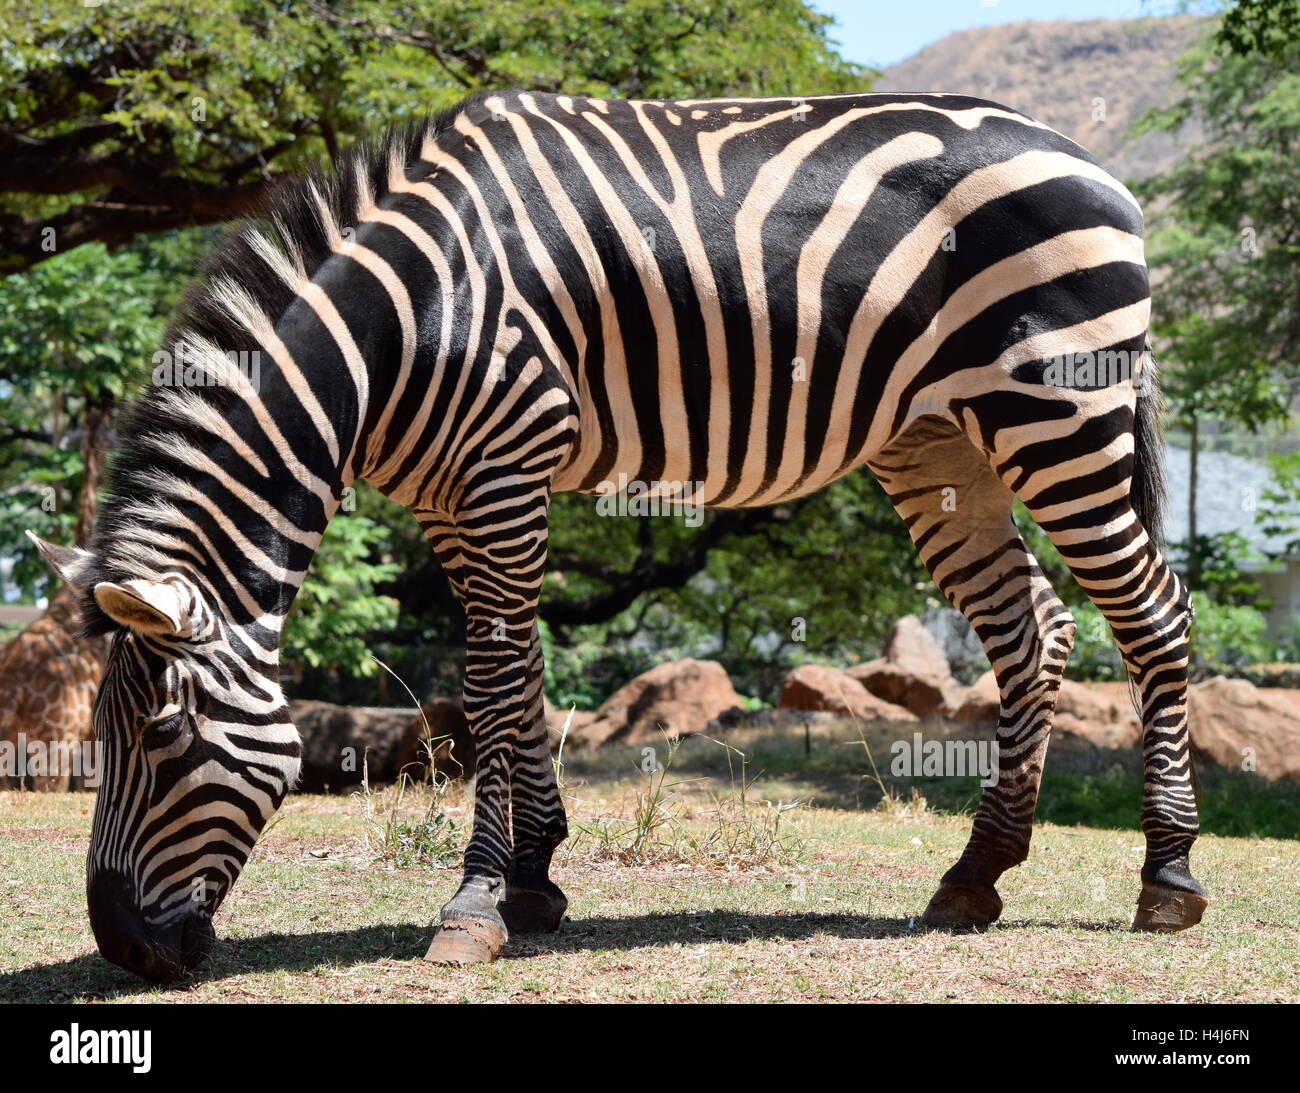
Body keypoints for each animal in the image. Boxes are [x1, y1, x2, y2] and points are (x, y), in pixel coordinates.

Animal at [30, 89, 1206, 982]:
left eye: (164, 738)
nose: (122, 948)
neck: (405, 327)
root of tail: (1081, 154)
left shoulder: (502, 470)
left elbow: (490, 681)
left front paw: (475, 903)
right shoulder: (451, 497)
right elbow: (521, 673)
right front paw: (536, 876)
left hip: (1061, 409)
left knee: (1154, 615)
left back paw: (1167, 875)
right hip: (940, 442)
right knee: (1032, 627)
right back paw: (976, 872)